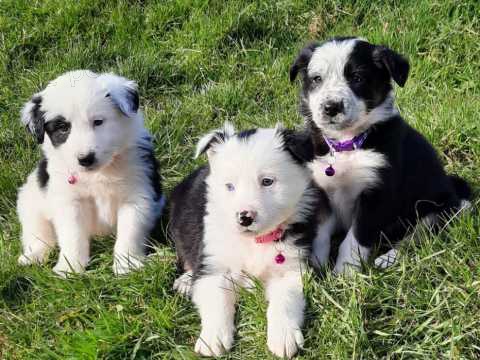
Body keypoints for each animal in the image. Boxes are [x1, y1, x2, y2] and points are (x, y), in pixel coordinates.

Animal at [16, 71, 164, 278]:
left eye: (98, 122)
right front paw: (69, 269)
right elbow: (72, 235)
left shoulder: (137, 194)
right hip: (30, 201)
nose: (85, 159)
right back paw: (33, 256)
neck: (100, 173)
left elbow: (130, 232)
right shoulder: (70, 201)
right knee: (38, 233)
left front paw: (126, 265)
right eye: (63, 128)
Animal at [169, 123, 330, 358]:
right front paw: (213, 338)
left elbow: (285, 300)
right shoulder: (214, 264)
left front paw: (284, 337)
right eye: (229, 186)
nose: (244, 217)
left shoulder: (292, 268)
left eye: (267, 182)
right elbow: (216, 299)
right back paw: (186, 280)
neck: (255, 241)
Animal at [290, 37, 470, 272]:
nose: (331, 107)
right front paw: (317, 266)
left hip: (435, 212)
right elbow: (320, 233)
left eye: (357, 78)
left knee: (415, 239)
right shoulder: (320, 190)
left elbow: (354, 238)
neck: (347, 144)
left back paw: (386, 260)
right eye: (317, 79)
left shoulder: (376, 195)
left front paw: (345, 272)